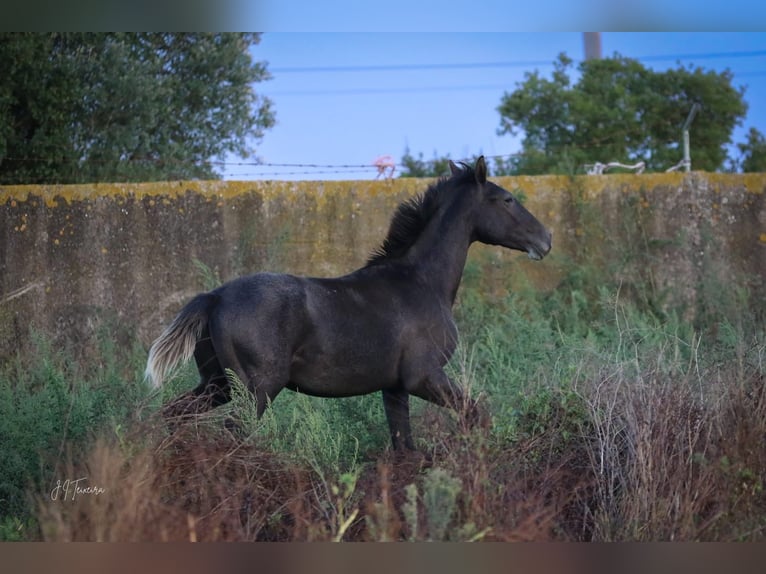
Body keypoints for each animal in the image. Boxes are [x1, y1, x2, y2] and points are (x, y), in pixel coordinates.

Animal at [146, 155, 552, 452]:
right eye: (507, 199)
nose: (545, 239)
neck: (421, 283)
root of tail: (214, 297)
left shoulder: (395, 388)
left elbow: (405, 449)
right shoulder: (425, 376)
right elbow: (476, 415)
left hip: (216, 384)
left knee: (171, 415)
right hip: (255, 390)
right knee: (232, 435)